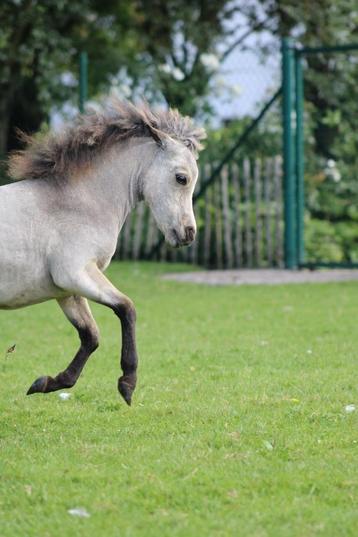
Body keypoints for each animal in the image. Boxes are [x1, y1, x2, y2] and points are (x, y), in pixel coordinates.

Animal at [0, 98, 206, 404]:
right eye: (181, 178)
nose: (188, 234)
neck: (76, 202)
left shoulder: (66, 290)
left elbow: (91, 336)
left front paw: (47, 382)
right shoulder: (76, 274)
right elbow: (126, 308)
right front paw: (128, 382)